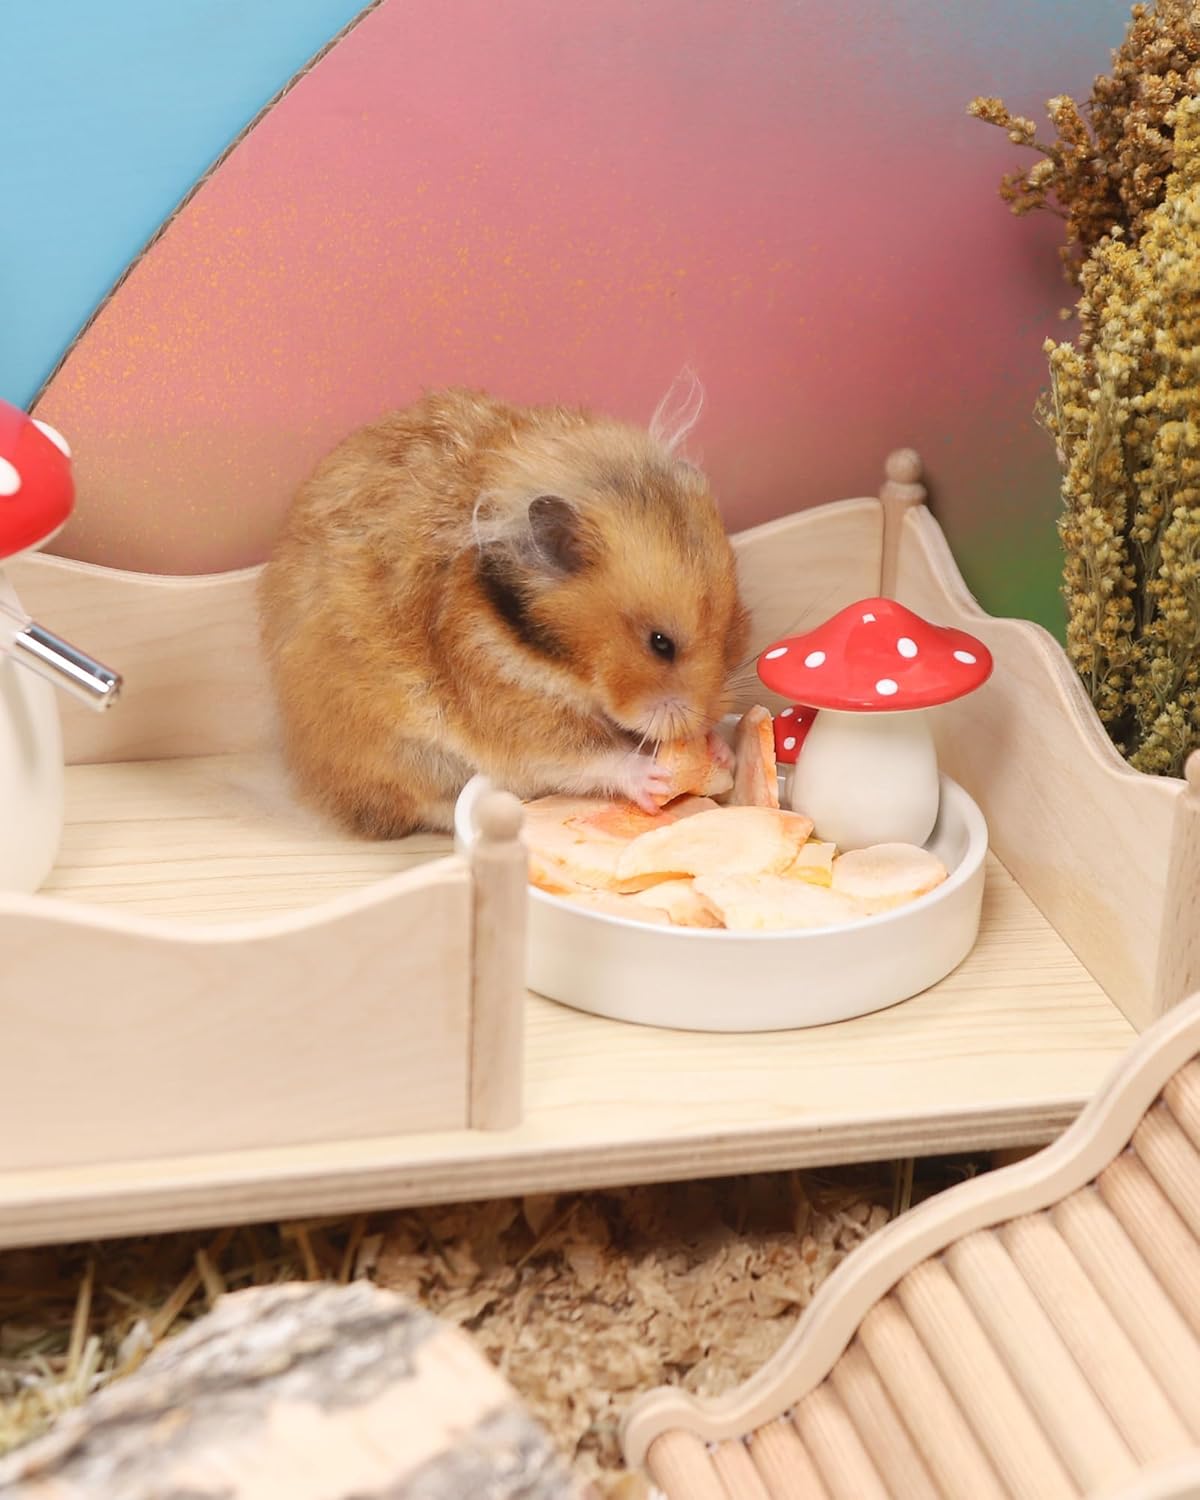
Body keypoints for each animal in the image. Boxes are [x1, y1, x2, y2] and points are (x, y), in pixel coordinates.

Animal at [258, 388, 751, 838]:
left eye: (730, 631)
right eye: (660, 644)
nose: (704, 723)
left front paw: (719, 751)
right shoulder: (513, 712)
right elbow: (586, 755)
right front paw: (655, 777)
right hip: (404, 760)